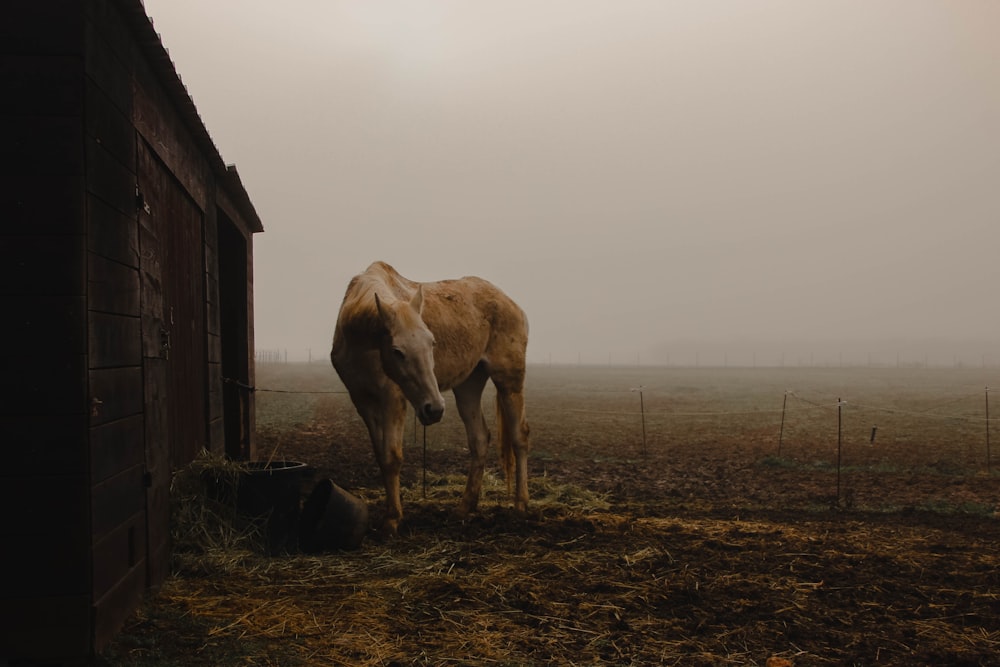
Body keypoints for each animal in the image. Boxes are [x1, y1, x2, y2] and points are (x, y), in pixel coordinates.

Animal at [330, 264, 532, 536]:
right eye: (397, 351)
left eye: (432, 342)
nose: (434, 409)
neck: (361, 341)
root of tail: (511, 303)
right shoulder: (363, 402)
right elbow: (381, 456)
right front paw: (389, 513)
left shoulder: (392, 400)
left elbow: (392, 457)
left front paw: (392, 519)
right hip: (468, 384)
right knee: (479, 439)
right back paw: (465, 507)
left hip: (509, 381)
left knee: (520, 436)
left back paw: (521, 504)